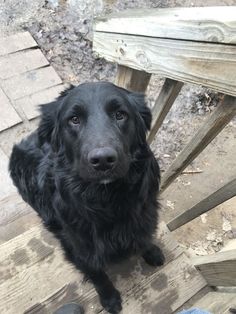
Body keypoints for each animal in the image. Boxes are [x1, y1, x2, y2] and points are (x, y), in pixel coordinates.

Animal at [9, 82, 164, 312]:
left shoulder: (144, 214)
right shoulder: (78, 246)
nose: (103, 160)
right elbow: (97, 273)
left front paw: (152, 252)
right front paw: (110, 298)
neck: (107, 197)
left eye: (120, 115)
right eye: (74, 119)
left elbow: (143, 236)